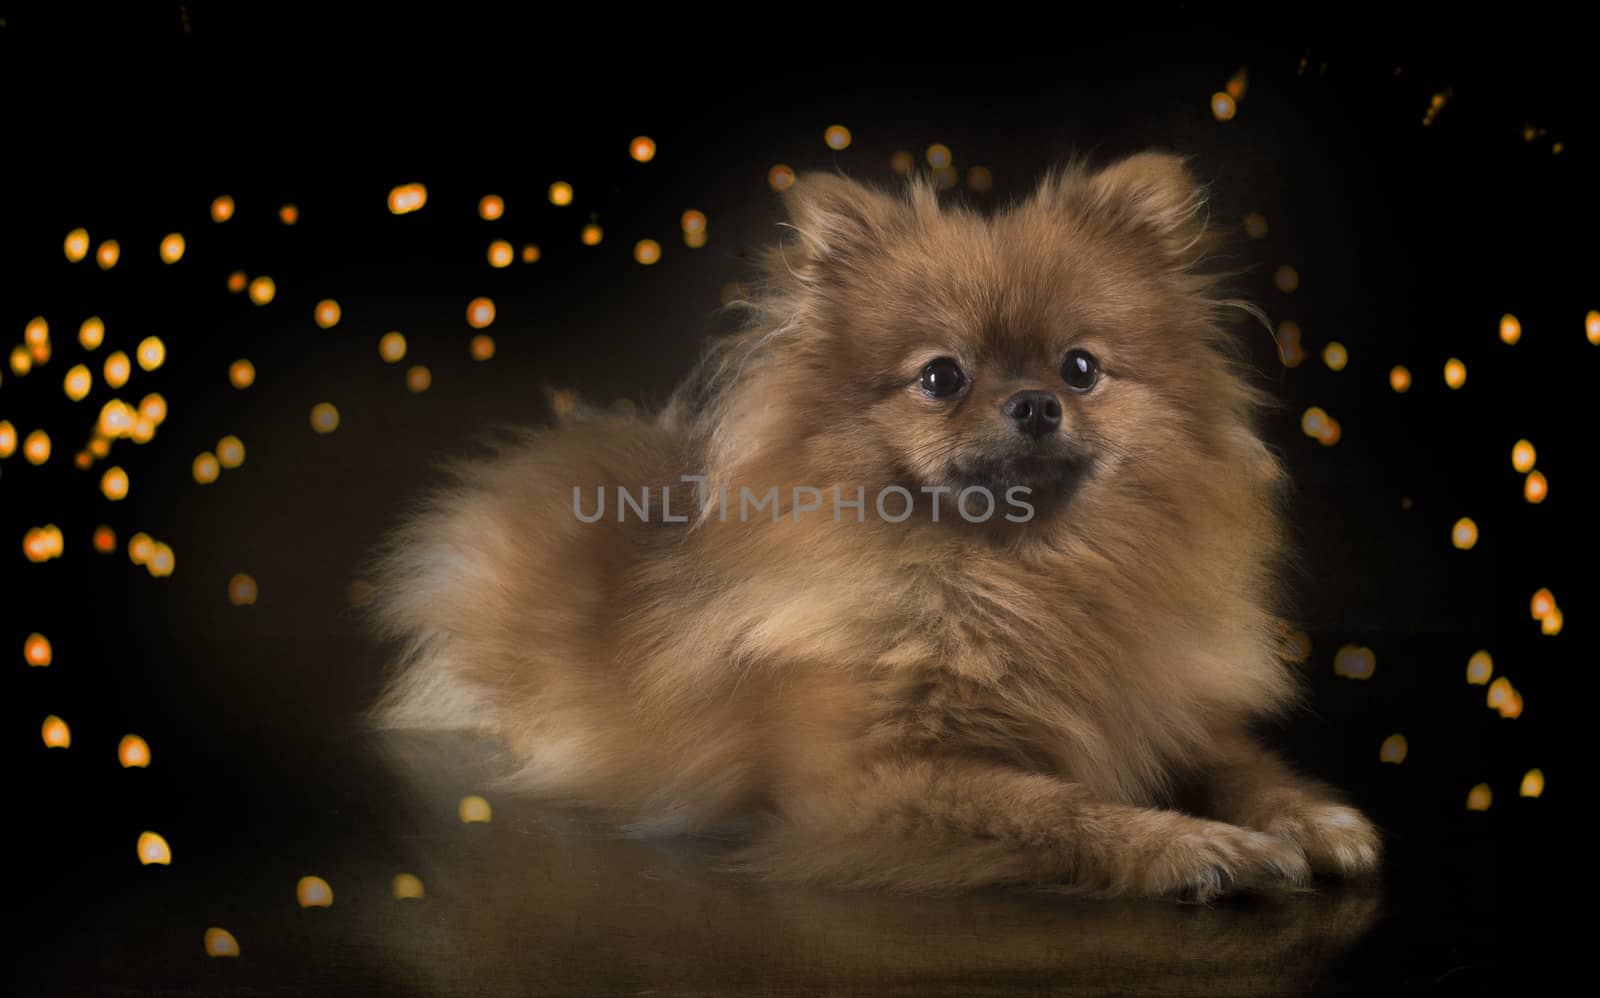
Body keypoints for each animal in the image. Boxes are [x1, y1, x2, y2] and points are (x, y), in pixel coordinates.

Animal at [368, 151, 1382, 902]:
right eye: (940, 376)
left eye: (1082, 368)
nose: (1034, 404)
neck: (1023, 579)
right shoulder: (862, 786)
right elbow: (1056, 806)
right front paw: (1193, 846)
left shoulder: (1164, 709)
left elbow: (1240, 762)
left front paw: (1310, 816)